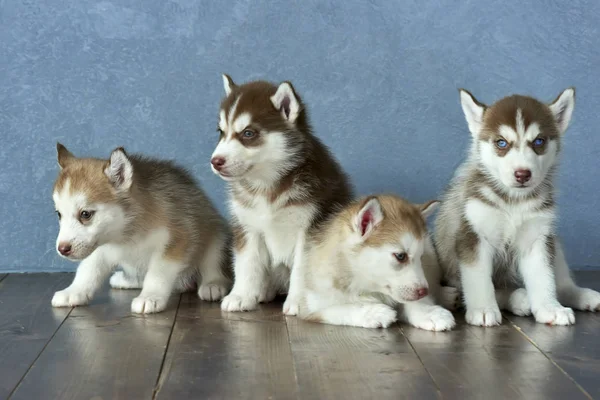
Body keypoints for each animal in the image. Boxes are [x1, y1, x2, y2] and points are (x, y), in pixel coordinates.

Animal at [51, 142, 232, 314]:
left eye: (85, 214)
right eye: (59, 214)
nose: (62, 249)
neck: (126, 234)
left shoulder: (178, 238)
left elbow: (158, 272)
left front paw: (150, 297)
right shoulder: (101, 247)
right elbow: (88, 269)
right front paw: (73, 291)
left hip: (217, 235)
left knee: (212, 262)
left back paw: (213, 285)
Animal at [211, 73, 354, 314]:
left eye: (248, 133)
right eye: (221, 132)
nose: (215, 161)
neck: (267, 185)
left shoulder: (309, 228)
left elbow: (301, 269)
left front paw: (299, 301)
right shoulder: (247, 226)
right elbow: (246, 264)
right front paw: (241, 295)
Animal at [298, 195, 458, 332]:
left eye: (421, 256)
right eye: (401, 256)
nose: (424, 291)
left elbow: (411, 301)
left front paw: (428, 312)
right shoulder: (311, 305)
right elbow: (341, 308)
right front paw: (373, 312)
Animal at [434, 89, 600, 326]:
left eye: (539, 141)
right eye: (501, 143)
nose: (523, 174)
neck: (514, 202)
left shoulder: (537, 238)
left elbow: (544, 277)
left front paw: (550, 308)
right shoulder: (473, 235)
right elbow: (478, 278)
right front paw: (483, 309)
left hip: (554, 242)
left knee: (561, 283)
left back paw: (579, 295)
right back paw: (517, 298)